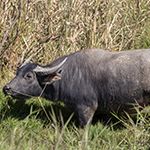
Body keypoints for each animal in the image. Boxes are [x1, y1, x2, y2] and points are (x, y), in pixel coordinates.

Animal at [2, 49, 150, 127]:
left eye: (28, 76)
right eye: (17, 73)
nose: (6, 88)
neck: (66, 76)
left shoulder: (86, 108)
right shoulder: (103, 110)